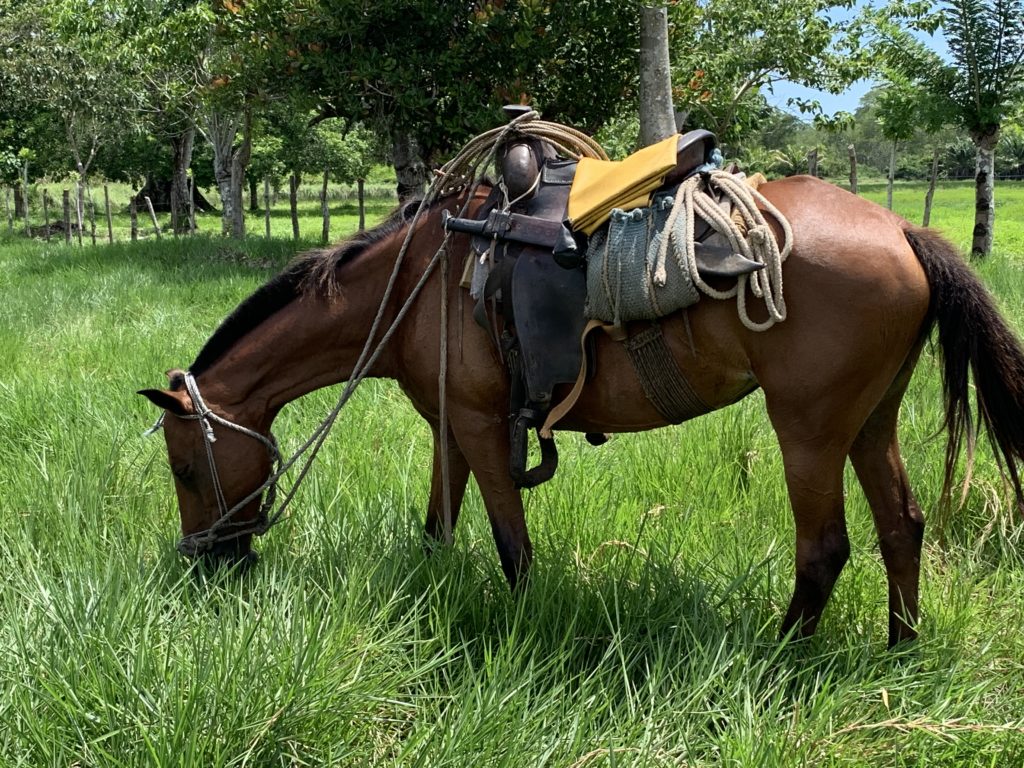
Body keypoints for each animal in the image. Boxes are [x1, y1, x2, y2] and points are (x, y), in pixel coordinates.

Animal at [139, 174, 1024, 648]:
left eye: (186, 466)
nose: (207, 560)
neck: (416, 286)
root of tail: (903, 229)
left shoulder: (480, 427)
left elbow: (512, 546)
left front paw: (523, 632)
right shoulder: (449, 428)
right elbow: (437, 528)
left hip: (807, 427)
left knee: (825, 549)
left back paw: (778, 658)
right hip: (869, 422)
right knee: (901, 526)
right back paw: (900, 647)